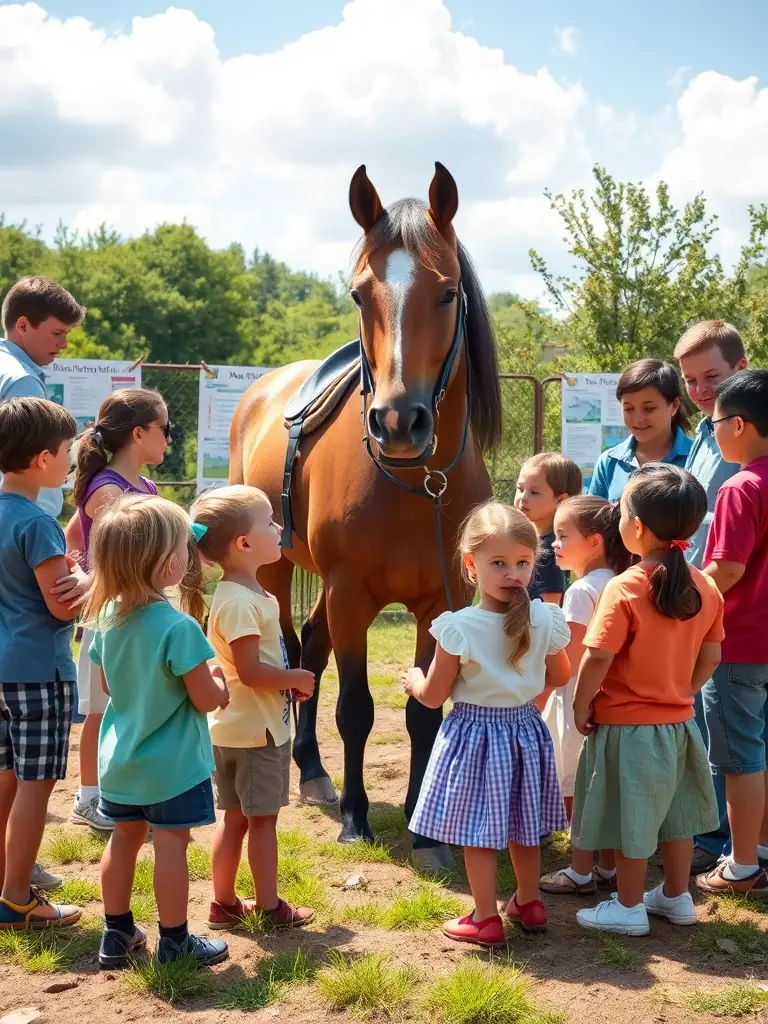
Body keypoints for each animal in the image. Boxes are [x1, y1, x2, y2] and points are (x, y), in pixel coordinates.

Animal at [229, 163, 502, 869]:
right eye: (358, 296)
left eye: (446, 293)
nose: (400, 422)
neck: (414, 484)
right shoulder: (352, 591)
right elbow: (355, 707)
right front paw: (357, 817)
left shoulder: (437, 601)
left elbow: (423, 710)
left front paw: (422, 827)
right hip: (275, 574)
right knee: (296, 654)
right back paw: (313, 776)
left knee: (312, 647)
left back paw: (312, 769)